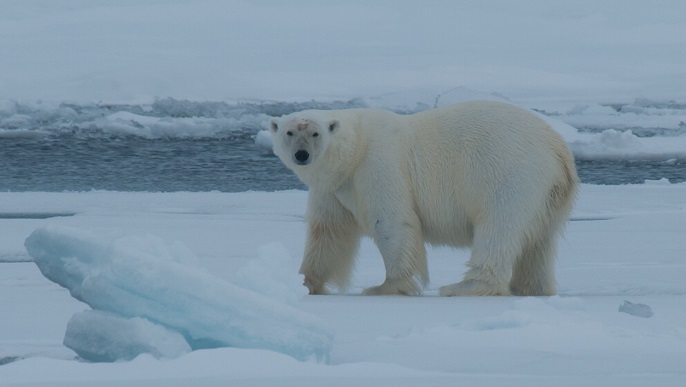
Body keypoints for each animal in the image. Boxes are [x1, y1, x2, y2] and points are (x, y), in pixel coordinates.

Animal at [272, 101, 576, 298]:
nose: (302, 154)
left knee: (498, 228)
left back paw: (463, 287)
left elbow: (391, 222)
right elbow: (327, 232)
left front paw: (385, 287)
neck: (355, 149)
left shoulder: (378, 166)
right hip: (549, 195)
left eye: (315, 133)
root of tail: (559, 150)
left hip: (510, 174)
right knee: (539, 241)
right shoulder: (334, 189)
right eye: (289, 132)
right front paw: (304, 282)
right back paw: (530, 287)